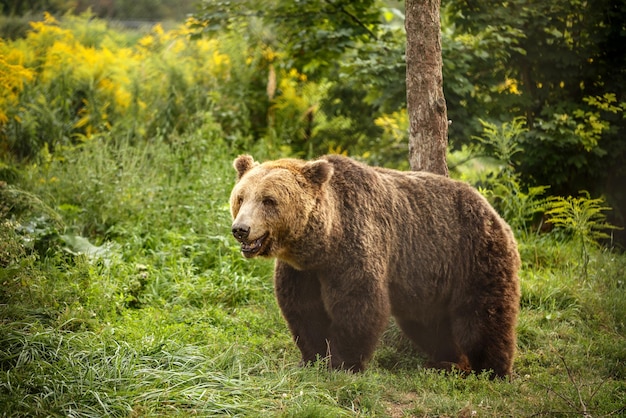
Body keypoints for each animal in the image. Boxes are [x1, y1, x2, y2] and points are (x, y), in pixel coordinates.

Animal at [228, 153, 516, 376]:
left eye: (269, 200)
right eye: (241, 197)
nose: (241, 229)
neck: (324, 243)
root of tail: (492, 209)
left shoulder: (354, 248)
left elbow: (358, 305)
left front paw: (343, 364)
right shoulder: (302, 271)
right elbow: (304, 311)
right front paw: (312, 359)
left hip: (472, 256)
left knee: (482, 317)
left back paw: (492, 370)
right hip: (428, 281)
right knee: (429, 325)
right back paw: (448, 361)